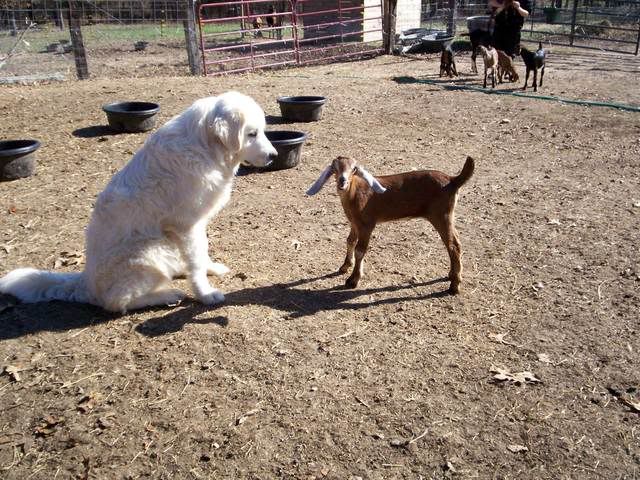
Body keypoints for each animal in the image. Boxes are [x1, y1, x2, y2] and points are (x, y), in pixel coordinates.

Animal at [306, 156, 475, 294]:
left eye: (353, 169)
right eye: (335, 168)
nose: (343, 181)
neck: (354, 193)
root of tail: (453, 180)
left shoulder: (367, 224)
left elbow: (360, 250)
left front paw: (353, 280)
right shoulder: (354, 223)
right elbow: (350, 241)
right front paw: (345, 266)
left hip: (441, 215)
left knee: (453, 245)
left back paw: (454, 286)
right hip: (447, 216)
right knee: (454, 243)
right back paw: (452, 276)